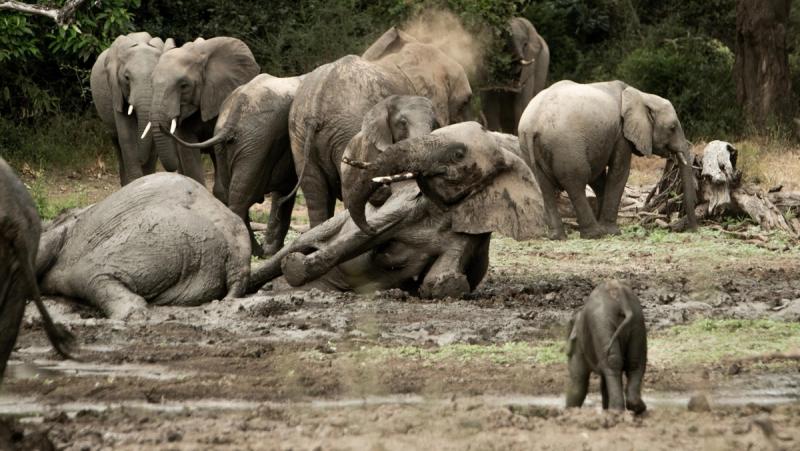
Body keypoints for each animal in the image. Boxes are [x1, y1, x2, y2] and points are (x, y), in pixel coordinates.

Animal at [90, 32, 175, 185]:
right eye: (127, 78)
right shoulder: (116, 90)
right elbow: (127, 136)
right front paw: (136, 182)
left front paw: (147, 180)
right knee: (117, 142)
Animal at [166, 73, 304, 257]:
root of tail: (235, 112)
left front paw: (272, 251)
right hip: (257, 144)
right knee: (241, 198)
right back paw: (251, 251)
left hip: (235, 143)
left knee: (231, 192)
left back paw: (256, 251)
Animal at [248, 122, 547, 298]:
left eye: (458, 154)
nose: (378, 199)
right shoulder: (406, 208)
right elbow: (359, 240)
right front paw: (297, 265)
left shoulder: (471, 229)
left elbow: (442, 282)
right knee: (299, 244)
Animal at [518, 80, 698, 240]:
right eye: (672, 128)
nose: (693, 230)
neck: (641, 95)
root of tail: (532, 125)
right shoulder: (621, 135)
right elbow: (619, 173)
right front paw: (612, 232)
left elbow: (599, 179)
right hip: (566, 145)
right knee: (576, 184)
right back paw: (594, 234)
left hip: (530, 148)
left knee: (545, 187)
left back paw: (557, 237)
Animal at [566, 280, 647, 414]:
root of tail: (621, 298)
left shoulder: (579, 346)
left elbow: (578, 381)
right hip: (637, 321)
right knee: (634, 363)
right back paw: (637, 407)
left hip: (602, 323)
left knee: (612, 363)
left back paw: (615, 411)